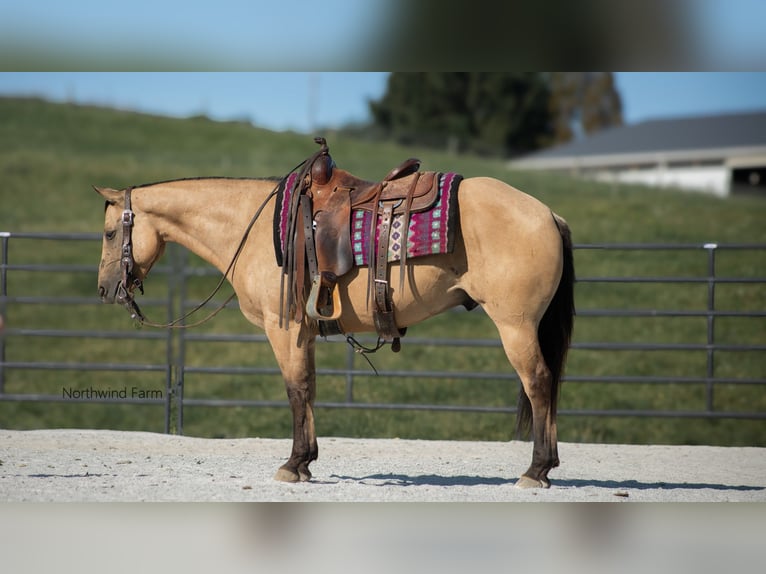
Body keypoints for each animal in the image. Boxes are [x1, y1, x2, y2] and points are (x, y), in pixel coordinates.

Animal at [94, 141, 576, 490]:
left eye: (110, 232)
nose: (105, 288)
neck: (256, 227)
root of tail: (549, 214)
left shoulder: (283, 329)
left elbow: (295, 390)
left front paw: (292, 464)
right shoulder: (303, 333)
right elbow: (308, 389)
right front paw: (306, 462)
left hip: (516, 326)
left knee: (539, 382)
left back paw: (536, 471)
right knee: (547, 384)